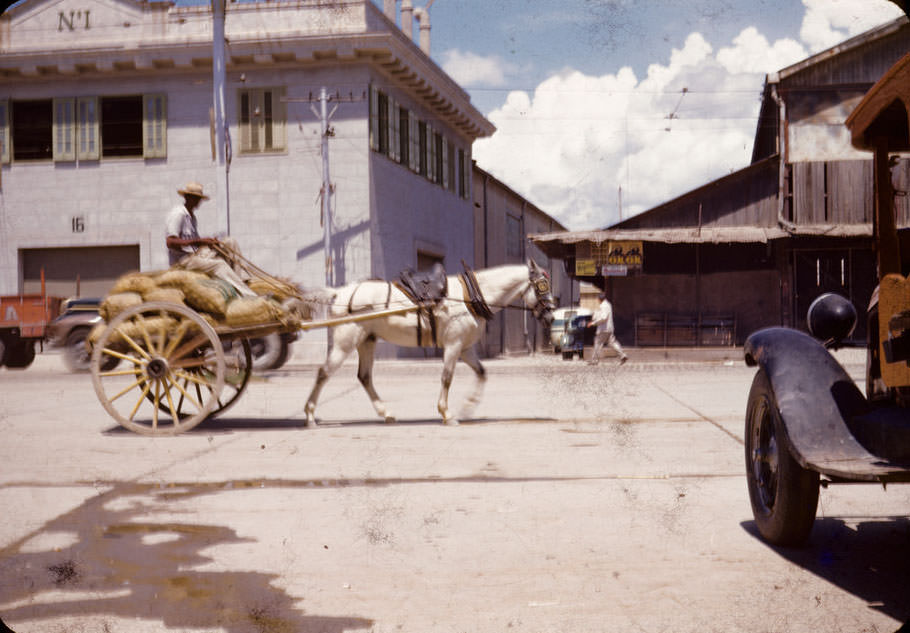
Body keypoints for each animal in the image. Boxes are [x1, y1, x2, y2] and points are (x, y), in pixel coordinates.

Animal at [302, 260, 556, 428]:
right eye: (543, 285)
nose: (551, 317)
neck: (469, 297)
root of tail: (339, 293)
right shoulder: (453, 345)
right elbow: (447, 377)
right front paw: (447, 414)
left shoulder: (465, 348)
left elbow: (482, 373)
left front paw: (468, 406)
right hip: (345, 343)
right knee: (324, 373)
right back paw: (310, 415)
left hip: (367, 341)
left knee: (364, 377)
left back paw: (386, 413)